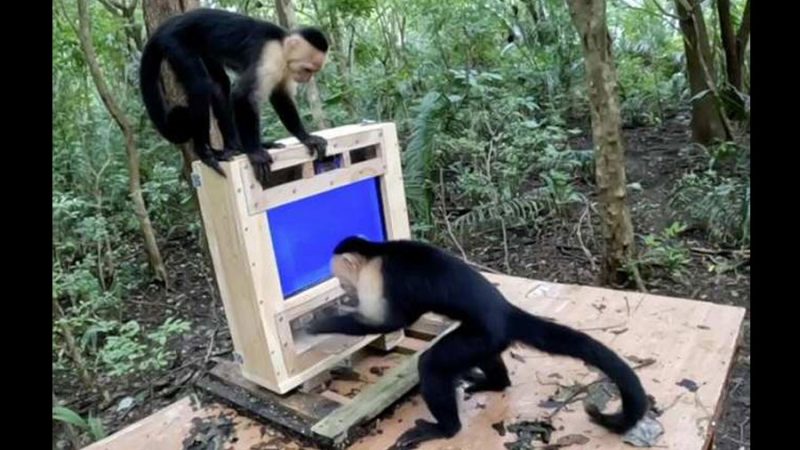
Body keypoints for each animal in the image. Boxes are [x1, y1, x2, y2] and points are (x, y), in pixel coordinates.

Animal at [139, 8, 329, 187]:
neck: (282, 46)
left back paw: (235, 146)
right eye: (307, 69)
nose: (307, 78)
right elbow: (243, 95)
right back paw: (205, 152)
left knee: (220, 85)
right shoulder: (270, 57)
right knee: (200, 86)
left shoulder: (285, 69)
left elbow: (280, 96)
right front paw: (255, 153)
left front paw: (306, 137)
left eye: (313, 71)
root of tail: (166, 26)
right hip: (175, 42)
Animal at [308, 236, 649, 449]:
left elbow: (391, 323)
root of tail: (505, 310)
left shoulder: (377, 280)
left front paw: (319, 324)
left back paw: (446, 428)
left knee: (432, 364)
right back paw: (494, 382)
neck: (378, 252)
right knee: (484, 357)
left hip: (486, 333)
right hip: (489, 337)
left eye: (343, 280)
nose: (344, 291)